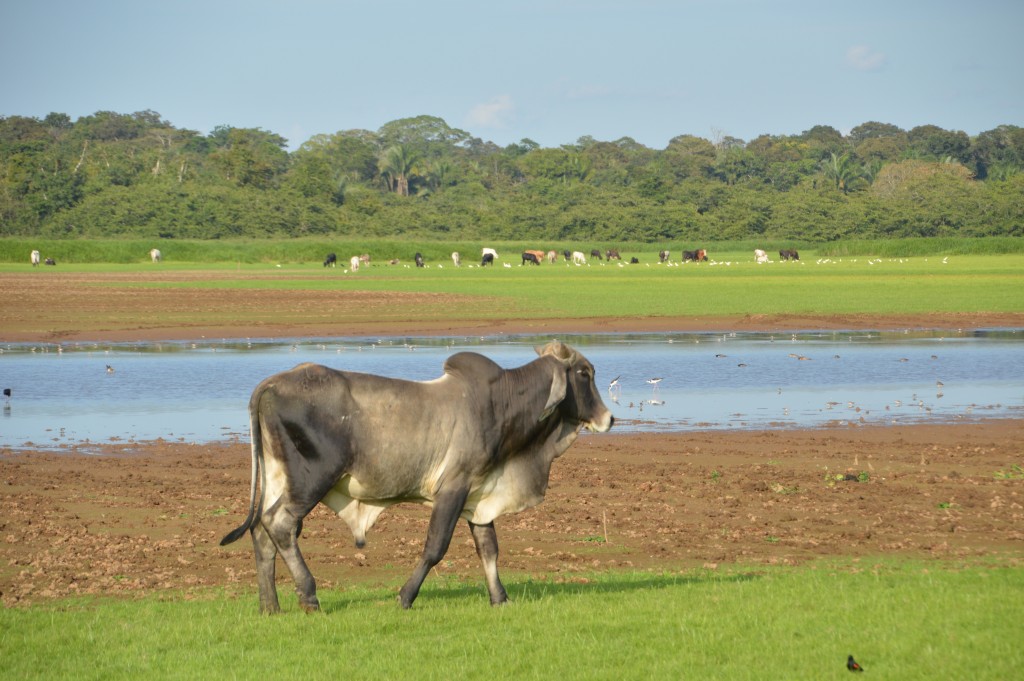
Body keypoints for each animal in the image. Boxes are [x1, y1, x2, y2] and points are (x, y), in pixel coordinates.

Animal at [220, 342, 610, 614]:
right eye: (584, 373)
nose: (609, 419)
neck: (502, 404)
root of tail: (271, 383)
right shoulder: (453, 488)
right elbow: (435, 547)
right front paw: (405, 597)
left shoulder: (479, 495)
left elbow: (489, 549)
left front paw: (500, 598)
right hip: (310, 480)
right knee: (280, 523)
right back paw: (309, 596)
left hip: (277, 476)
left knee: (262, 529)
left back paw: (270, 606)